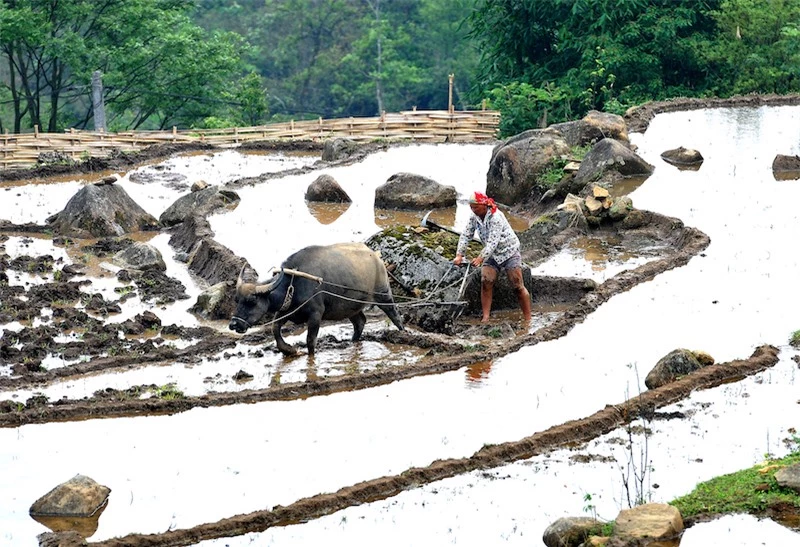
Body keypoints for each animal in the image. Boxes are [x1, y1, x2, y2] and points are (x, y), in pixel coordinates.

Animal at [230, 243, 406, 356]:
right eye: (237, 300)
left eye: (251, 302)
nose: (233, 324)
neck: (294, 283)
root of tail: (376, 256)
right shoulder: (285, 311)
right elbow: (275, 329)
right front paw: (289, 350)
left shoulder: (316, 315)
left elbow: (310, 341)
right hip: (350, 306)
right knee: (360, 322)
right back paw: (353, 341)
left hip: (383, 294)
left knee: (394, 314)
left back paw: (403, 333)